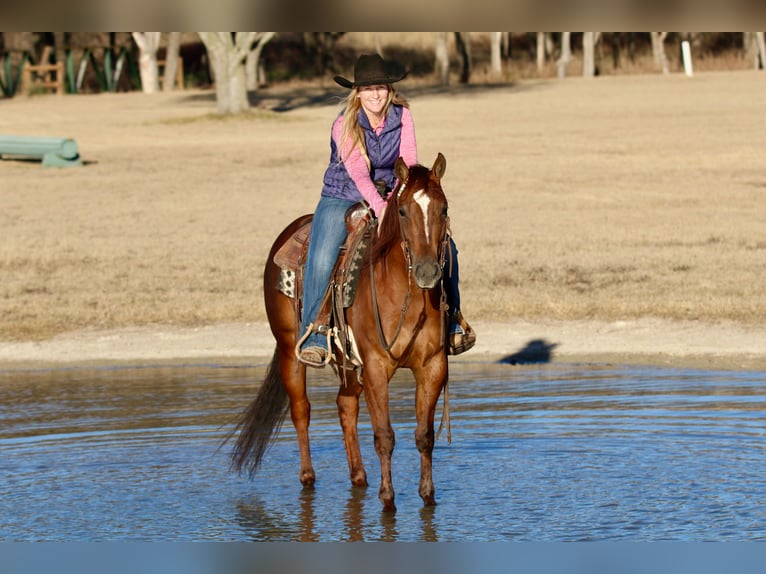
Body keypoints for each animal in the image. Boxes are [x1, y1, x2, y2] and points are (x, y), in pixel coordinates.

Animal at [228, 153, 451, 512]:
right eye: (403, 211)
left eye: (443, 209)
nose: (428, 271)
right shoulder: (376, 367)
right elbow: (384, 436)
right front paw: (388, 500)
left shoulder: (432, 366)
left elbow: (424, 436)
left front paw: (428, 496)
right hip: (290, 349)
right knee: (301, 410)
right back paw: (308, 477)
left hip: (348, 363)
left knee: (345, 406)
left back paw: (359, 477)